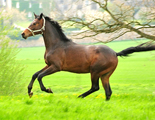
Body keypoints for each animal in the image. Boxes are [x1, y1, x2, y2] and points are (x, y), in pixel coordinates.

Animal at [21, 12, 155, 100]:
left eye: (34, 23)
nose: (23, 34)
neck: (56, 45)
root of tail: (115, 53)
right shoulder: (48, 65)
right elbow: (35, 74)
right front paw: (29, 92)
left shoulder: (56, 67)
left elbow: (40, 76)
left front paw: (48, 90)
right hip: (105, 75)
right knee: (108, 91)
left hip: (95, 71)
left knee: (95, 87)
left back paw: (80, 96)